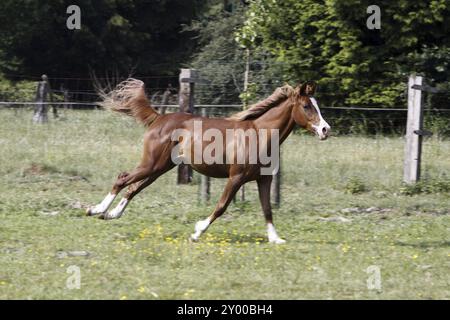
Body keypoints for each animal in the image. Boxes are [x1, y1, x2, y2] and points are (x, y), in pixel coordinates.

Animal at [86, 79, 328, 244]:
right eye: (307, 106)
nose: (326, 129)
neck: (259, 134)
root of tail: (159, 118)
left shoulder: (264, 180)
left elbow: (267, 209)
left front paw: (276, 239)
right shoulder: (236, 177)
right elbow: (221, 206)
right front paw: (197, 231)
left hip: (160, 168)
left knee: (134, 187)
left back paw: (112, 214)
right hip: (151, 164)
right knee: (123, 178)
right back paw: (95, 210)